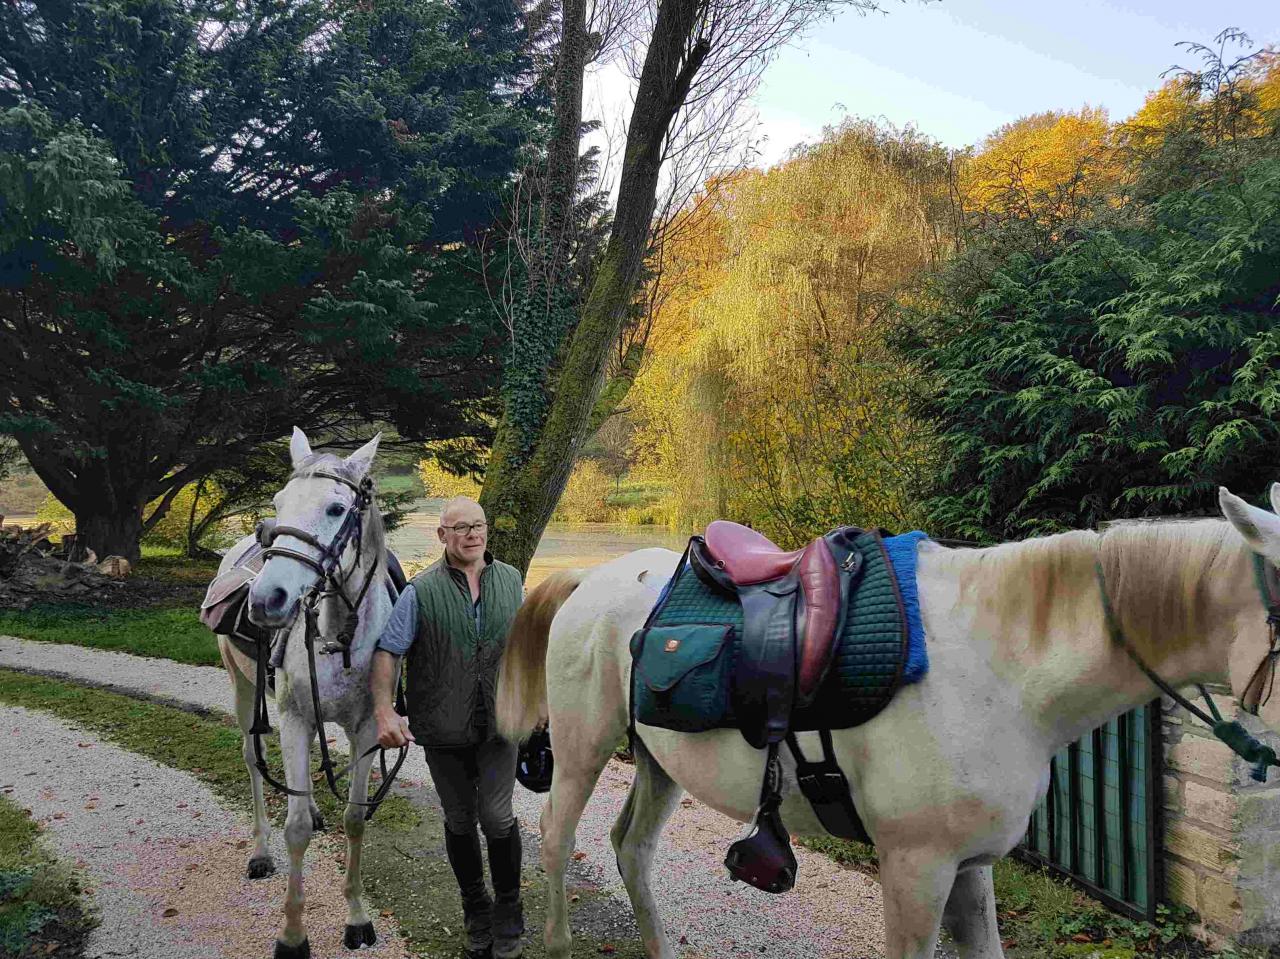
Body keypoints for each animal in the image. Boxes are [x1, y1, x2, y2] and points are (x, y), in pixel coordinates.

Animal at [215, 427, 389, 957]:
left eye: (336, 508)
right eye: (278, 502)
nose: (265, 600)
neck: (339, 635)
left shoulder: (367, 732)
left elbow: (355, 819)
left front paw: (357, 917)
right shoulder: (293, 718)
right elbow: (293, 830)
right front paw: (292, 935)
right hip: (243, 688)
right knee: (253, 760)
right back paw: (260, 851)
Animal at [494, 486, 1280, 957]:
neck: (999, 667)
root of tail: (587, 580)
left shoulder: (969, 867)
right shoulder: (915, 867)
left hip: (659, 762)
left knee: (630, 848)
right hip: (582, 747)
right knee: (558, 833)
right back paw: (556, 939)